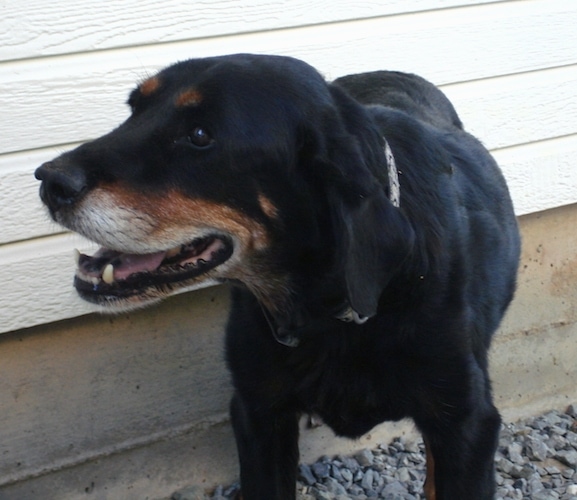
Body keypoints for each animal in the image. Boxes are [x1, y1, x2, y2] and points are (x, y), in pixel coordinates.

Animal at [36, 52, 520, 498]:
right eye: (134, 109)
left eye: (200, 136)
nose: (48, 181)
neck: (330, 313)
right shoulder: (258, 413)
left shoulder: (466, 423)